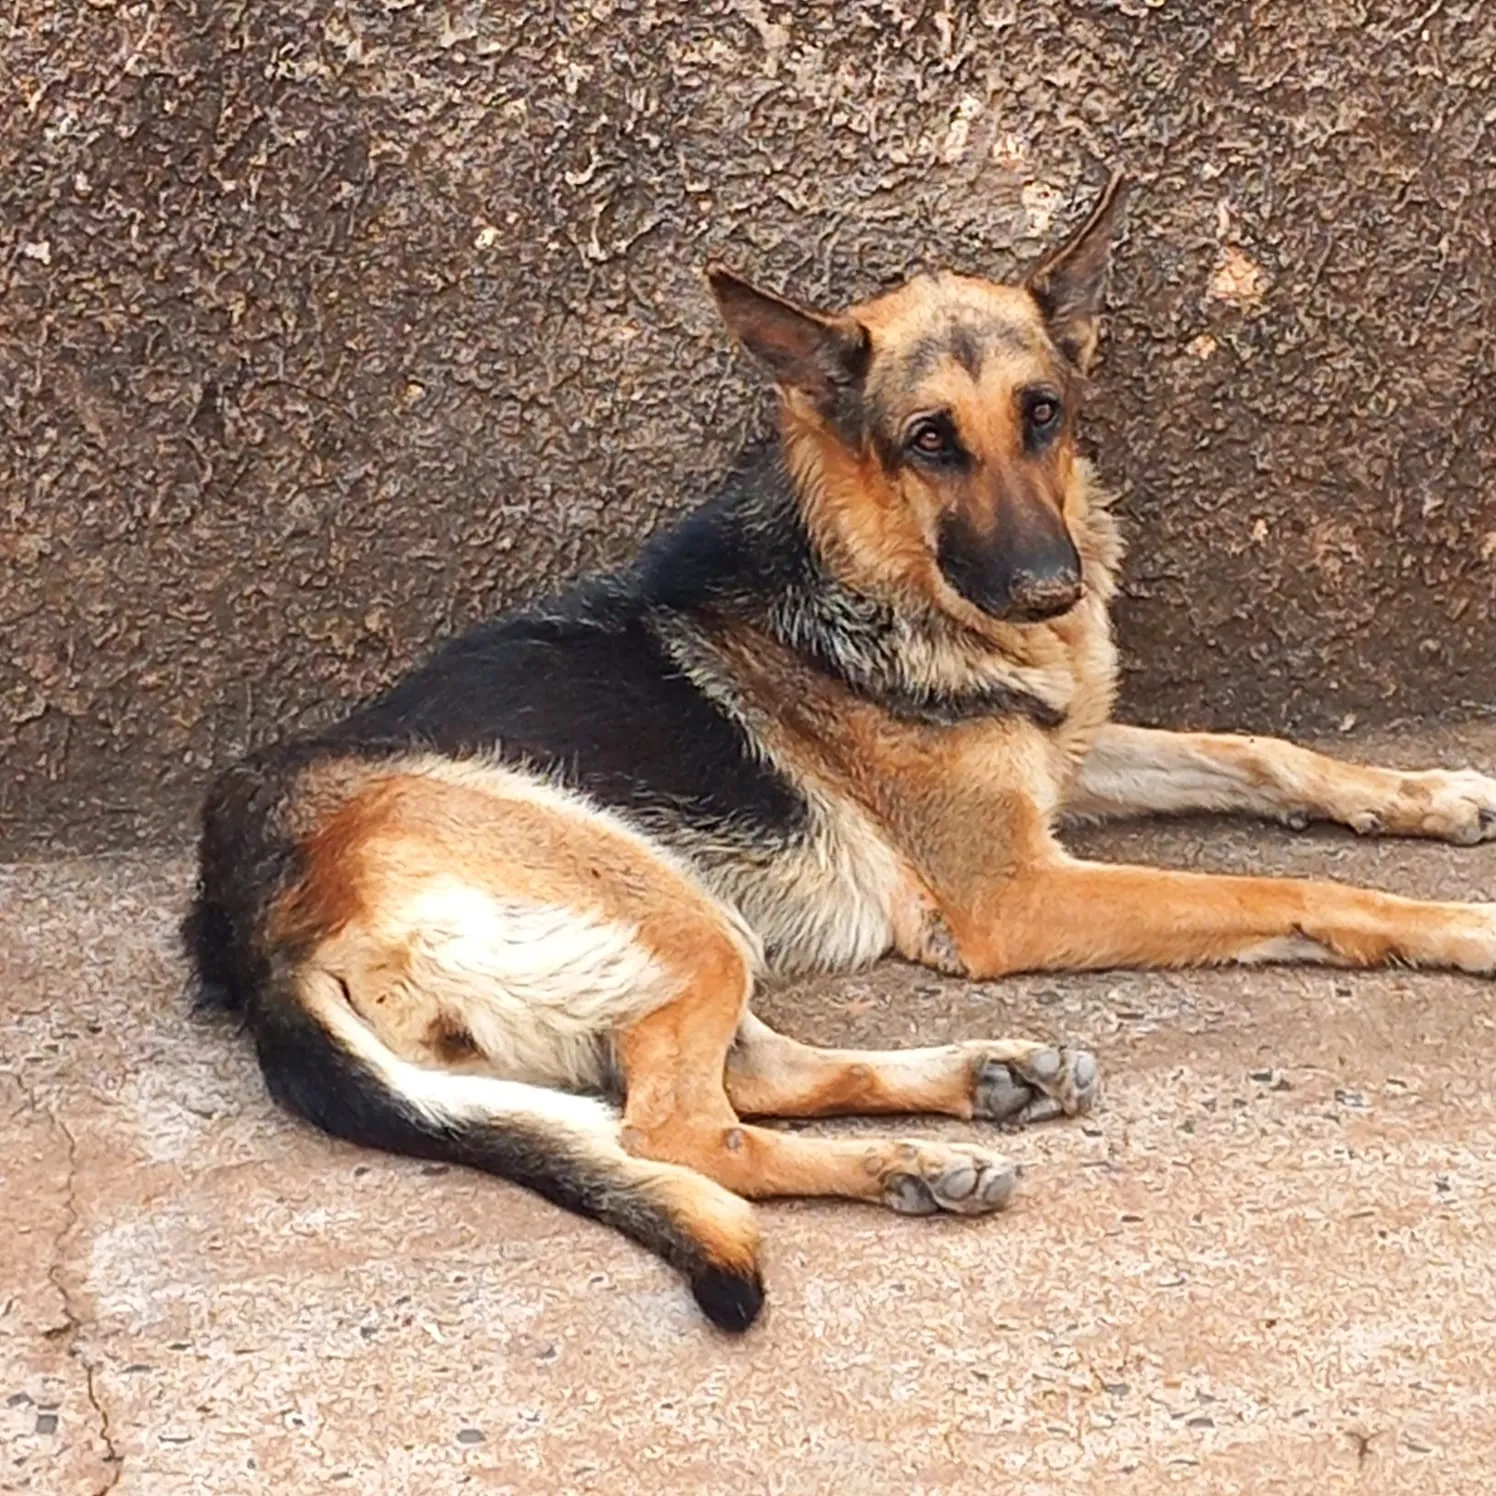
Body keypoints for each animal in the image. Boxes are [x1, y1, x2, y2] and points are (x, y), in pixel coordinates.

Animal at [184, 175, 1496, 1334]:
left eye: (1042, 413)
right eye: (927, 441)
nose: (1052, 589)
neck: (873, 567)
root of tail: (249, 921)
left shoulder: (1059, 764)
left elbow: (1264, 754)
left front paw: (1429, 793)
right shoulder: (1013, 892)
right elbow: (1275, 885)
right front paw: (1455, 922)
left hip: (671, 927)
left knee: (735, 1080)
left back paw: (979, 1084)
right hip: (663, 901)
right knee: (671, 1131)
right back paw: (908, 1159)